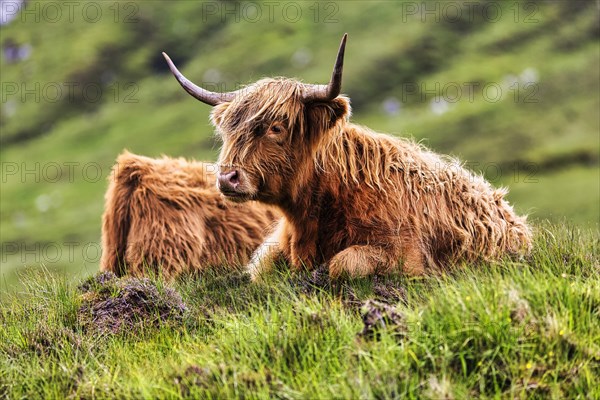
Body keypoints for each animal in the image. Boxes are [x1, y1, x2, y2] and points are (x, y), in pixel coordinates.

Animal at [162, 32, 532, 280]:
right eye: (229, 129)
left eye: (276, 128)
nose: (227, 177)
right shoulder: (274, 247)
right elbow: (261, 270)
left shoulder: (406, 255)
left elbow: (342, 264)